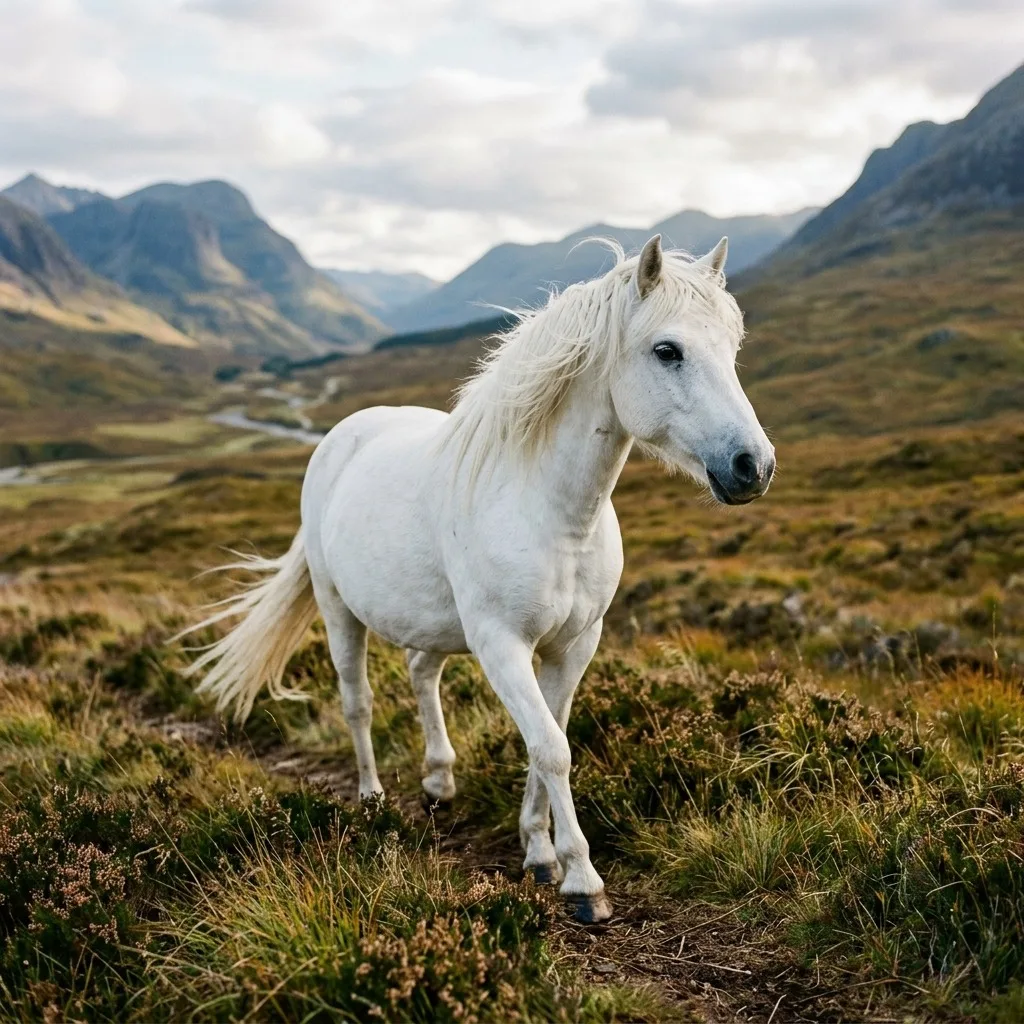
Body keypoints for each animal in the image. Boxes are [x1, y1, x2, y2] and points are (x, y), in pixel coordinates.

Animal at [182, 234, 775, 923]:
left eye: (732, 347)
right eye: (667, 350)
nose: (753, 465)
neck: (553, 514)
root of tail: (341, 436)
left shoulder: (575, 646)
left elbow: (547, 741)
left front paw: (539, 853)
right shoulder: (501, 646)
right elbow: (552, 749)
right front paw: (583, 883)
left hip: (432, 623)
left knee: (421, 673)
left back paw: (439, 780)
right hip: (338, 612)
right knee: (358, 702)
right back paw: (373, 799)